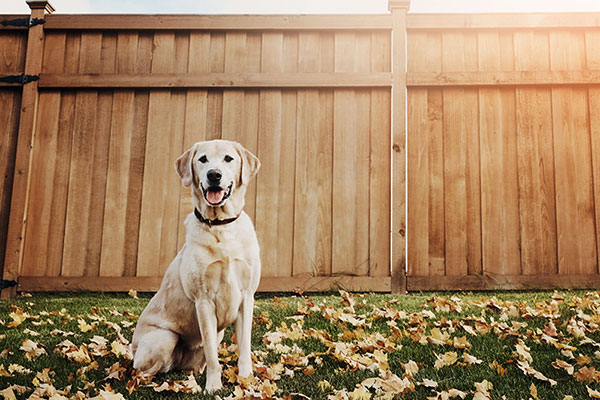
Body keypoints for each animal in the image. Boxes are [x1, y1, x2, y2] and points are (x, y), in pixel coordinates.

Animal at [131, 140, 260, 390]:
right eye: (202, 159)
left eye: (228, 158)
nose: (214, 174)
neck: (221, 226)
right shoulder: (204, 301)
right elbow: (212, 354)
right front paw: (213, 387)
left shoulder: (246, 297)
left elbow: (244, 346)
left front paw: (246, 380)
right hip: (164, 338)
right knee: (142, 371)